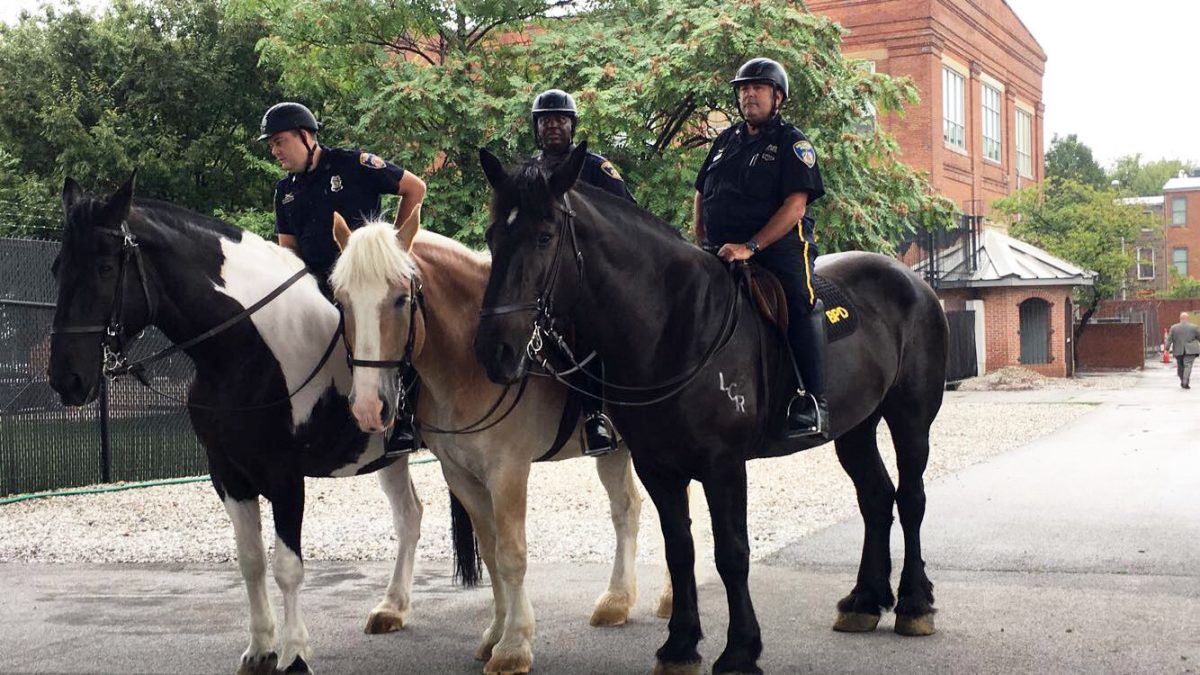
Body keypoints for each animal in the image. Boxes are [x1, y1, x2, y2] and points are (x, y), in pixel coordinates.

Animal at [48, 176, 441, 672]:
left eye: (103, 267)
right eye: (58, 269)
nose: (67, 380)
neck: (246, 347)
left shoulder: (285, 476)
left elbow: (288, 567)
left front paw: (294, 655)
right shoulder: (228, 474)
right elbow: (251, 560)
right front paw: (260, 649)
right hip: (389, 455)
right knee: (409, 517)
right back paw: (393, 608)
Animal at [328, 216, 672, 672]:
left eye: (402, 299)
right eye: (342, 301)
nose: (369, 406)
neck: (468, 361)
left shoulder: (508, 471)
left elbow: (511, 554)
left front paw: (513, 645)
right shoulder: (460, 475)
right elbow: (490, 552)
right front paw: (495, 632)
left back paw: (670, 597)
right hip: (614, 450)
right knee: (626, 509)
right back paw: (617, 600)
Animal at [472, 147, 950, 672]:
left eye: (544, 235)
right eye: (493, 236)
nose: (494, 350)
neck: (672, 324)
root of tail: (914, 282)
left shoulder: (724, 466)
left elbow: (731, 553)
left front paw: (740, 648)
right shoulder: (658, 468)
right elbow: (680, 552)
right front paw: (681, 644)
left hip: (910, 419)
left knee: (911, 498)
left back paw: (913, 604)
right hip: (856, 427)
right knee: (876, 497)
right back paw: (864, 601)